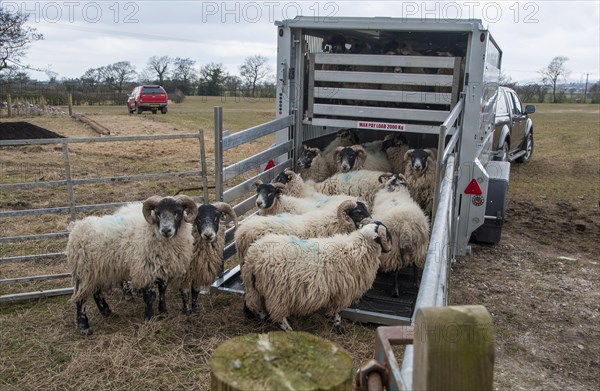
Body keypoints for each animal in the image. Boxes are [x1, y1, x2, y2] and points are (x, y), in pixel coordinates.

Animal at [67, 196, 197, 336]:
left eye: (178, 212)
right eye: (157, 213)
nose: (166, 230)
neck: (151, 231)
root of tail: (76, 227)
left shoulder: (162, 268)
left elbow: (162, 291)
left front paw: (163, 312)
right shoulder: (145, 270)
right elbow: (149, 297)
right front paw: (149, 318)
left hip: (97, 270)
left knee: (96, 292)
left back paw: (107, 312)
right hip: (83, 272)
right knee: (81, 298)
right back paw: (84, 326)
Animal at [241, 220, 392, 334]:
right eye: (387, 234)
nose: (390, 248)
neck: (360, 246)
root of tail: (253, 257)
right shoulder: (343, 292)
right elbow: (338, 311)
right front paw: (338, 325)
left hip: (253, 286)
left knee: (254, 303)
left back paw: (262, 317)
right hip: (278, 294)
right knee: (279, 316)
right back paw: (289, 329)